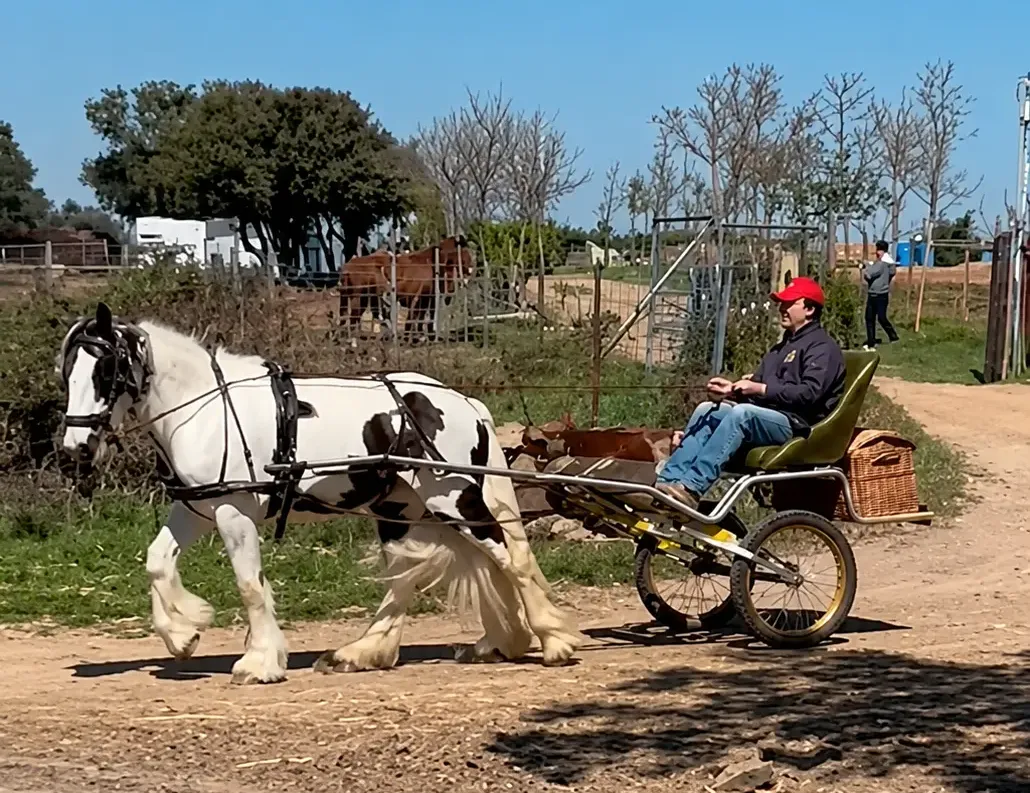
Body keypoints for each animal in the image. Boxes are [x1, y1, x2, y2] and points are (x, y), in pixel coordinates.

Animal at [57, 302, 583, 684]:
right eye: (68, 374)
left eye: (105, 370)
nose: (74, 448)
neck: (204, 409)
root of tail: (463, 401)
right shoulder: (196, 508)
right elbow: (156, 561)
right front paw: (183, 635)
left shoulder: (232, 511)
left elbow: (249, 585)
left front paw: (259, 662)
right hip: (401, 507)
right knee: (411, 578)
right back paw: (367, 652)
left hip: (452, 501)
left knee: (509, 558)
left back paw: (553, 642)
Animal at [339, 235, 475, 340]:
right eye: (463, 253)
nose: (471, 269)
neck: (432, 262)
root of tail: (348, 265)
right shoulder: (420, 297)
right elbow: (416, 316)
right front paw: (415, 335)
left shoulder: (427, 297)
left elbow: (424, 316)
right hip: (357, 296)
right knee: (354, 316)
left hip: (362, 297)